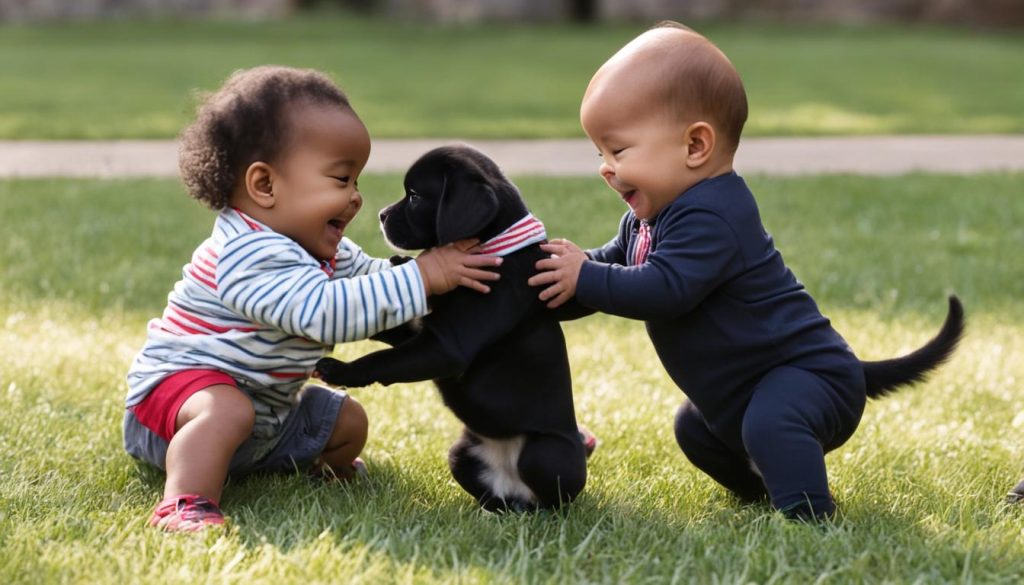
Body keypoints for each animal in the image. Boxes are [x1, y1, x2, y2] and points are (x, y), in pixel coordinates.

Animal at [315, 144, 589, 510]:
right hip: (462, 452)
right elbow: (385, 333)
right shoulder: (423, 330)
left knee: (551, 497)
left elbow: (383, 361)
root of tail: (511, 485)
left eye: (415, 196)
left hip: (545, 453)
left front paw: (339, 369)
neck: (493, 246)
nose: (382, 215)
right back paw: (490, 511)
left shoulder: (446, 346)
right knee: (490, 492)